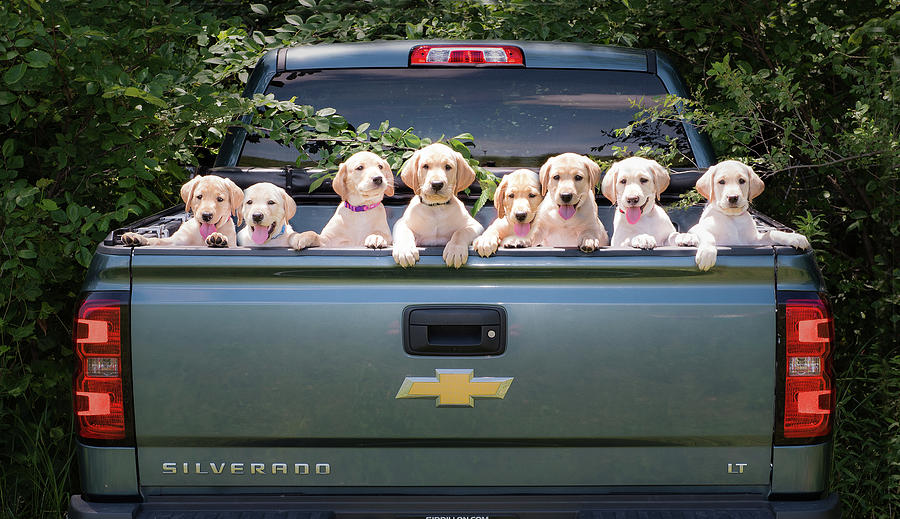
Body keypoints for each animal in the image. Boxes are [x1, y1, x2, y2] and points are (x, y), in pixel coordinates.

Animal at [684, 160, 812, 270]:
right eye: (721, 182)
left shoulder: (752, 241)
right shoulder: (696, 228)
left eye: (742, 181)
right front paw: (707, 253)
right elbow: (708, 235)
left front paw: (794, 237)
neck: (732, 218)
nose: (733, 197)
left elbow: (772, 233)